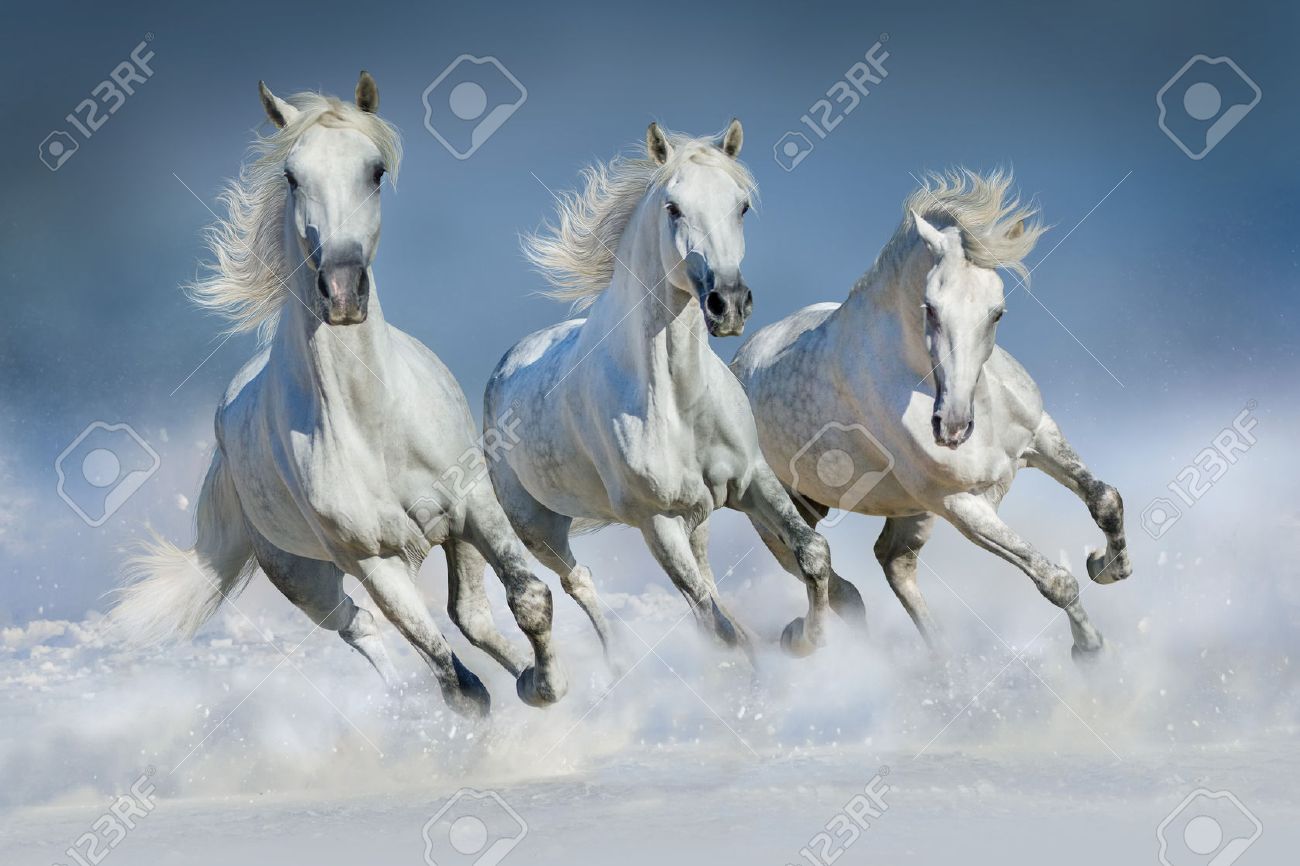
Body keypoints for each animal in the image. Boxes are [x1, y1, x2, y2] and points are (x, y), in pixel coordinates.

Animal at [112, 72, 566, 716]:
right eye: (291, 176)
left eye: (375, 171)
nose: (343, 290)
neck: (371, 421)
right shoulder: (373, 559)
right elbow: (454, 681)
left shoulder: (474, 507)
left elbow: (528, 598)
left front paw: (546, 685)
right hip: (304, 579)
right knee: (362, 627)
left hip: (453, 535)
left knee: (471, 615)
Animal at [484, 121, 866, 666]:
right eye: (673, 207)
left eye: (741, 206)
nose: (728, 304)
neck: (677, 400)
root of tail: (507, 364)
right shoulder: (656, 522)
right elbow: (715, 625)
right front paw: (787, 645)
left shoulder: (753, 479)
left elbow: (812, 554)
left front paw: (803, 638)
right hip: (541, 529)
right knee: (579, 582)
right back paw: (615, 661)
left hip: (696, 516)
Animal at [730, 169, 1131, 659]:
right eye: (931, 309)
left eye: (997, 313)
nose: (952, 428)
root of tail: (739, 362)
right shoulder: (957, 503)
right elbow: (1054, 579)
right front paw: (1090, 650)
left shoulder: (1040, 437)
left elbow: (1105, 500)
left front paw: (1107, 566)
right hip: (781, 509)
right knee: (817, 567)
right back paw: (806, 639)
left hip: (909, 511)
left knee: (893, 561)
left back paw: (943, 661)